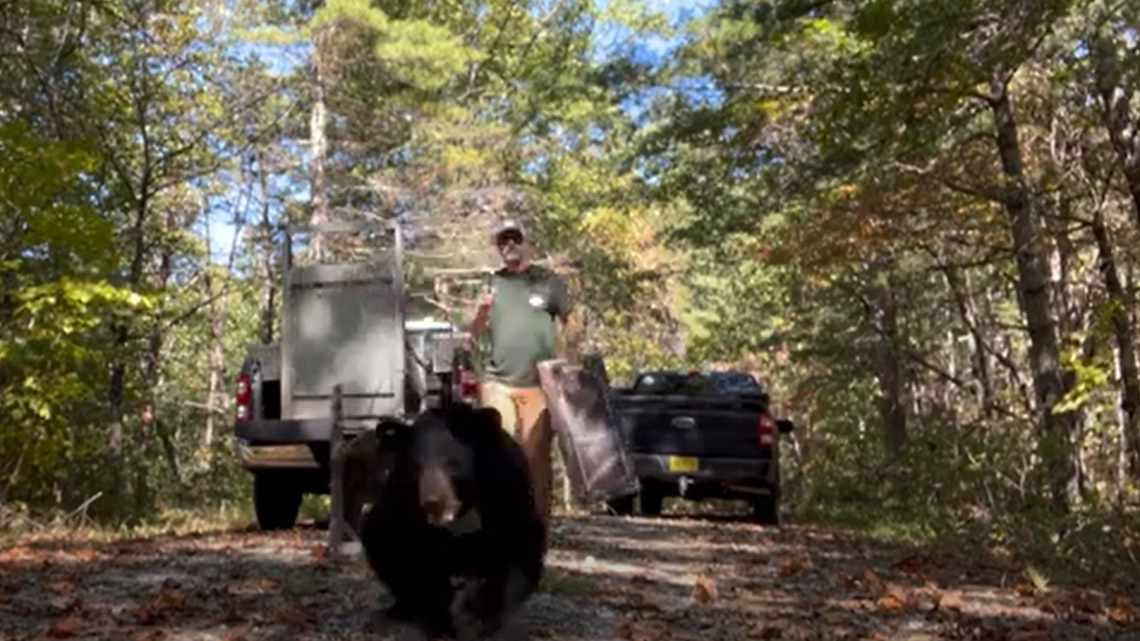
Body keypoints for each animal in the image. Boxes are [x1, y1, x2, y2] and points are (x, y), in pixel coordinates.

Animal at [359, 403, 546, 641]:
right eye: (416, 467)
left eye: (452, 464)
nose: (432, 502)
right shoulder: (403, 499)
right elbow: (403, 549)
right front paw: (437, 622)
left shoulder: (507, 486)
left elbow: (519, 548)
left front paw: (479, 619)